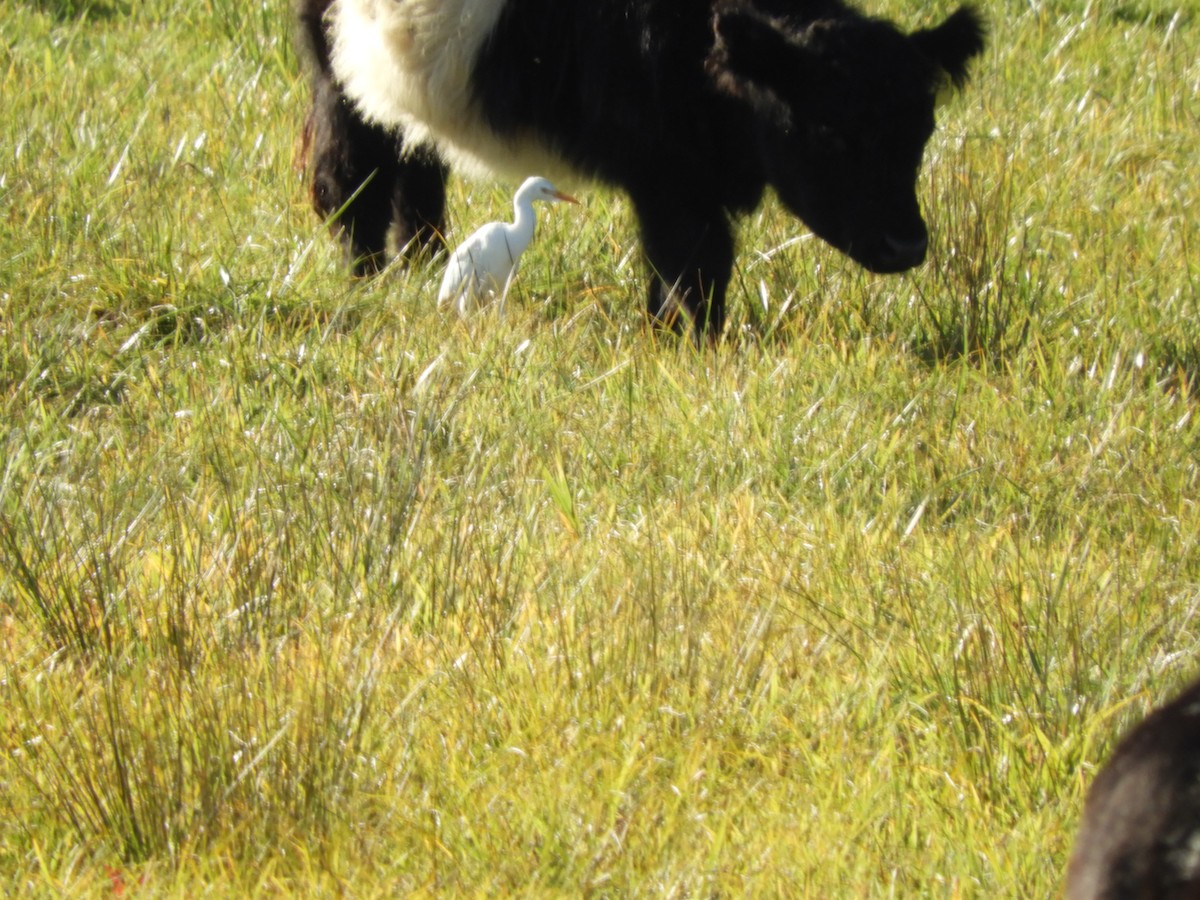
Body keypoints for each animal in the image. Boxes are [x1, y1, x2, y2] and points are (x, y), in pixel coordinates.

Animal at [293, 0, 985, 337]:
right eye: (832, 135)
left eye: (922, 131)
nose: (906, 245)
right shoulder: (667, 173)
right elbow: (693, 262)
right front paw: (686, 339)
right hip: (338, 64)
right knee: (350, 175)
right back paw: (366, 275)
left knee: (417, 166)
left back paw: (423, 258)